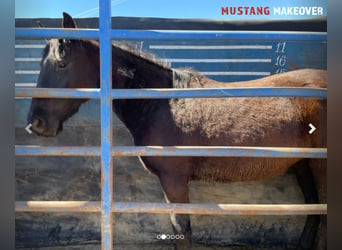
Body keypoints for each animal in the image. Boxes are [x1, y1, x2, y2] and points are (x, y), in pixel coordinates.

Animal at [26, 12, 326, 249]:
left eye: (62, 63)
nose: (36, 123)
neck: (161, 102)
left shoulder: (174, 180)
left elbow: (183, 231)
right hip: (304, 165)